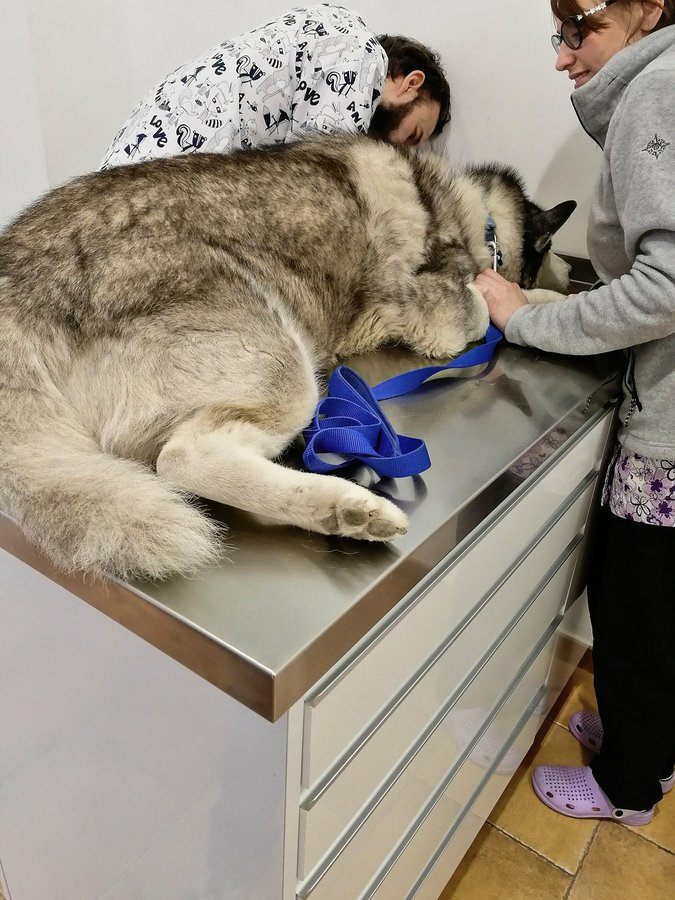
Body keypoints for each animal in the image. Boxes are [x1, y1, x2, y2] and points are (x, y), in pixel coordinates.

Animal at [0, 137, 576, 580]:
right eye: (549, 252)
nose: (573, 271)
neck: (478, 216)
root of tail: (19, 279)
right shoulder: (436, 310)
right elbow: (482, 308)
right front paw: (534, 299)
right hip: (285, 365)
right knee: (181, 459)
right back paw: (347, 508)